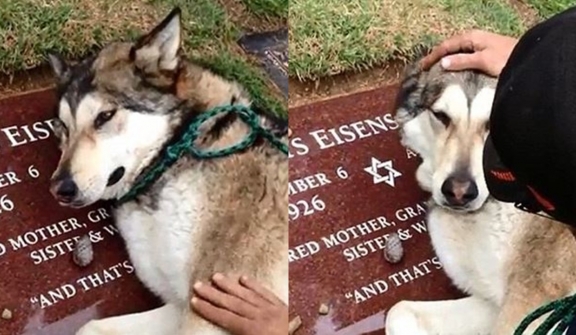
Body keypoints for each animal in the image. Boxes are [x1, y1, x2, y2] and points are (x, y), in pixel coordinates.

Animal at [46, 7, 288, 335]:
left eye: (105, 116)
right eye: (62, 126)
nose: (60, 189)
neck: (175, 155)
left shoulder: (209, 310)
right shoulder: (182, 305)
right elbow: (90, 325)